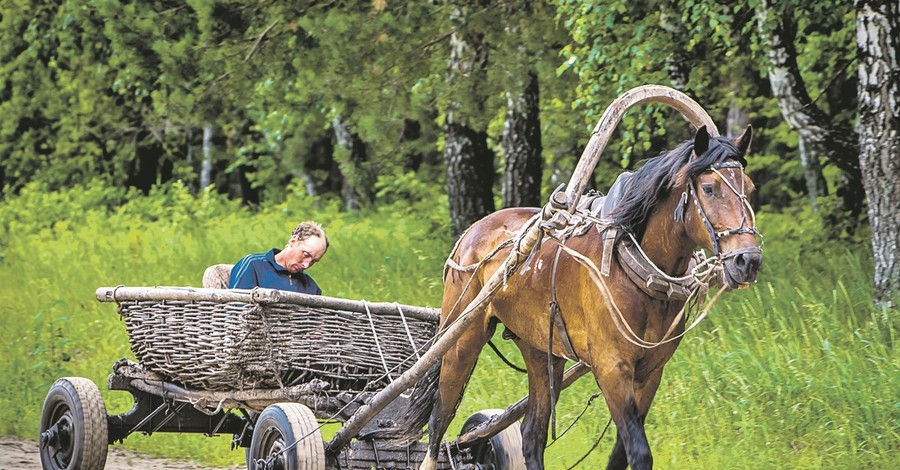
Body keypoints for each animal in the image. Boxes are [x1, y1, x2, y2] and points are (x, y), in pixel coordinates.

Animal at [390, 123, 764, 468]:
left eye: (749, 188)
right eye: (710, 188)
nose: (748, 260)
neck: (634, 272)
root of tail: (474, 229)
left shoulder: (650, 373)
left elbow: (621, 453)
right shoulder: (612, 368)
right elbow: (639, 451)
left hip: (541, 350)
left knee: (531, 433)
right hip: (462, 336)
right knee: (440, 418)